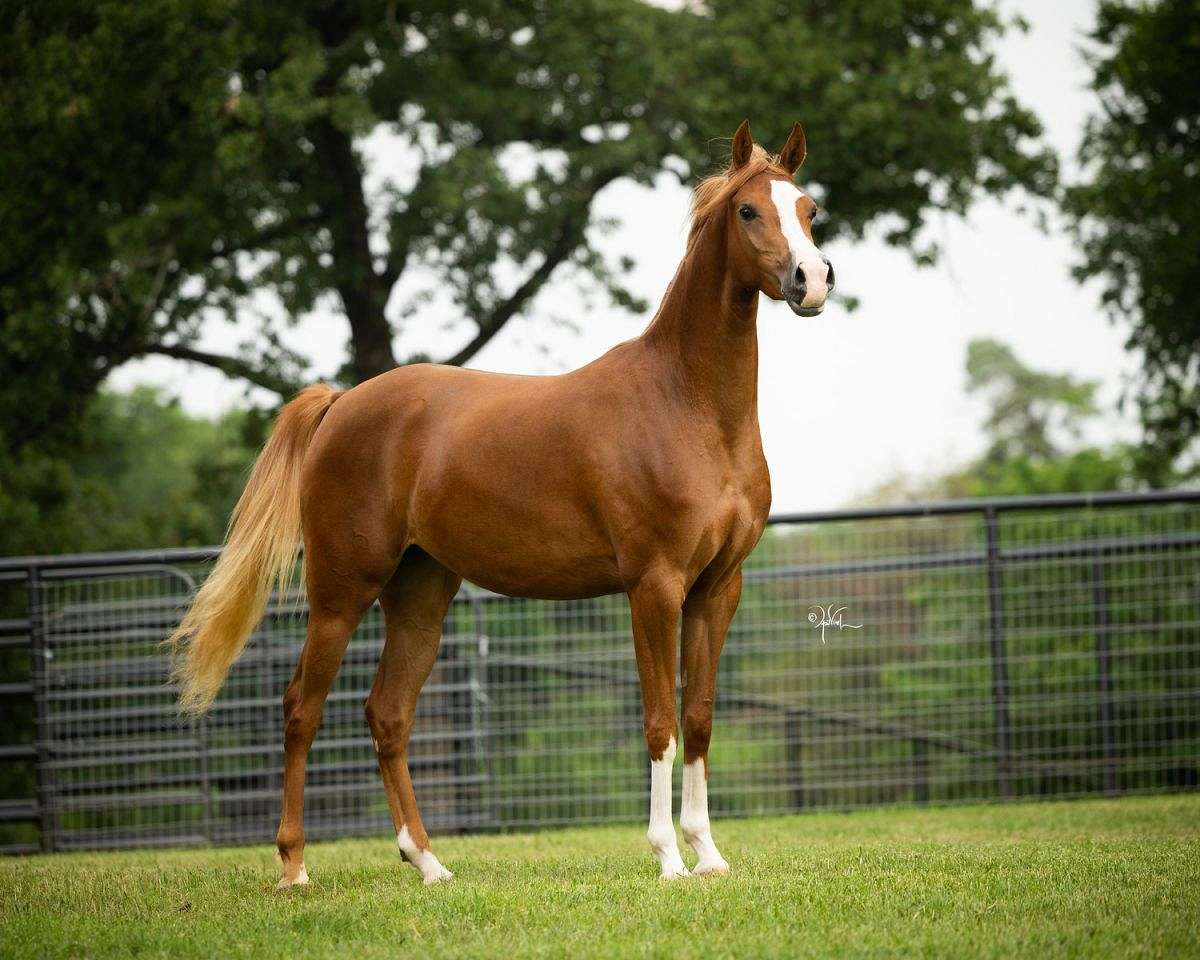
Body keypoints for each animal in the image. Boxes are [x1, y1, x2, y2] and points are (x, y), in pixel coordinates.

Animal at [169, 119, 834, 886]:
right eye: (748, 211)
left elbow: (697, 719)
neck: (688, 405)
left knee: (387, 714)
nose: (812, 280)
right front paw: (668, 858)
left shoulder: (718, 587)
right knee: (301, 708)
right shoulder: (654, 586)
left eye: (810, 208)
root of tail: (340, 404)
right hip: (341, 591)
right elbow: (660, 722)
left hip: (420, 593)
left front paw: (709, 854)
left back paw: (428, 863)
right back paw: (295, 867)